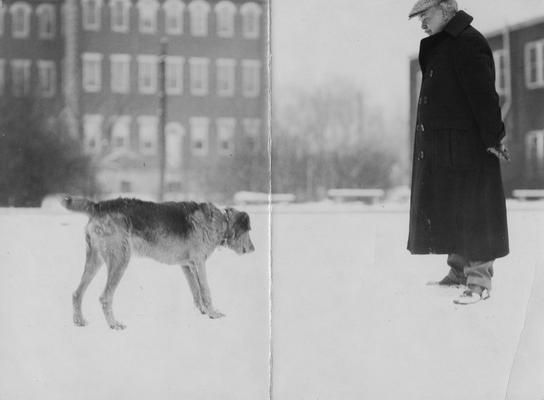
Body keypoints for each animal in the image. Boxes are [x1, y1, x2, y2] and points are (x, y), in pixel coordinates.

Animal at [62, 195, 255, 330]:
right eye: (249, 230)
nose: (254, 250)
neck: (221, 222)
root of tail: (99, 205)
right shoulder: (199, 262)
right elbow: (206, 291)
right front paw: (213, 314)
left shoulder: (188, 266)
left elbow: (196, 292)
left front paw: (202, 312)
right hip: (120, 261)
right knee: (105, 297)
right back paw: (114, 325)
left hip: (95, 261)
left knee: (77, 293)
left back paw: (79, 321)